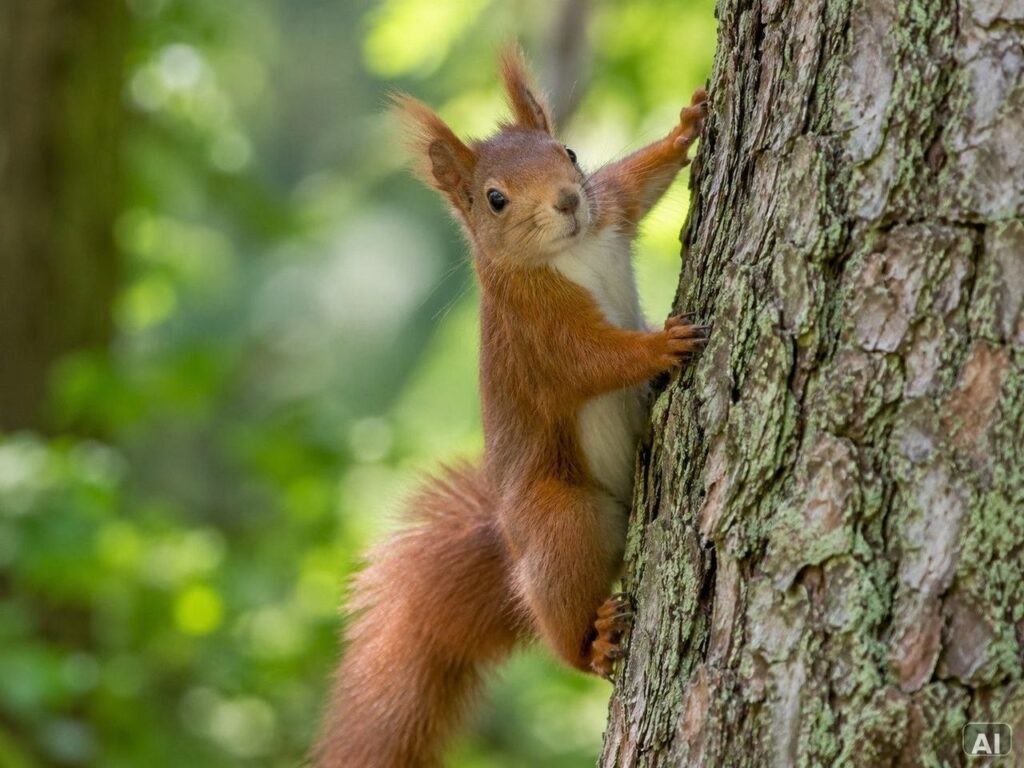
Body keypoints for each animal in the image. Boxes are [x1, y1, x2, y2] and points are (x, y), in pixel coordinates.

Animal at [314, 47, 708, 768]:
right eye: (496, 199)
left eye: (569, 152)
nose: (568, 201)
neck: (571, 250)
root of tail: (510, 541)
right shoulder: (539, 336)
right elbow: (594, 362)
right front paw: (658, 345)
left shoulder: (611, 212)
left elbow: (638, 182)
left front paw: (685, 125)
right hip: (559, 519)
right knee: (559, 619)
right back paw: (593, 643)